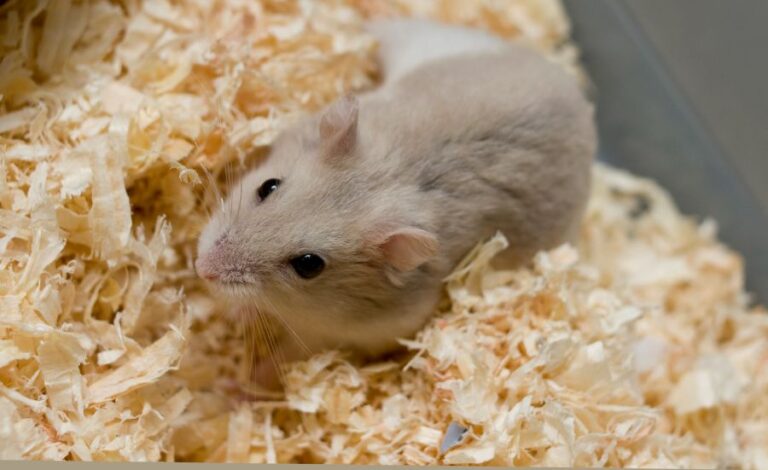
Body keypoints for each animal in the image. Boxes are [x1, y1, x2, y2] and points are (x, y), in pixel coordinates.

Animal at [195, 18, 596, 389]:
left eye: (308, 265)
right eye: (268, 186)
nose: (201, 269)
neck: (394, 174)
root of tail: (580, 99)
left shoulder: (338, 336)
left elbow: (281, 362)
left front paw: (234, 385)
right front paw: (232, 315)